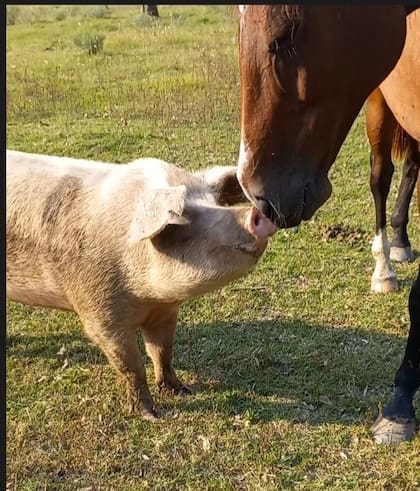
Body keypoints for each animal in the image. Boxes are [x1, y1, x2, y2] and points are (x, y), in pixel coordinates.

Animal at [7, 150, 276, 418]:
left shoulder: (165, 312)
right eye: (183, 217)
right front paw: (151, 415)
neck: (147, 297)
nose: (255, 213)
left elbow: (162, 350)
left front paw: (182, 390)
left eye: (216, 203)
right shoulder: (99, 315)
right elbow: (131, 366)